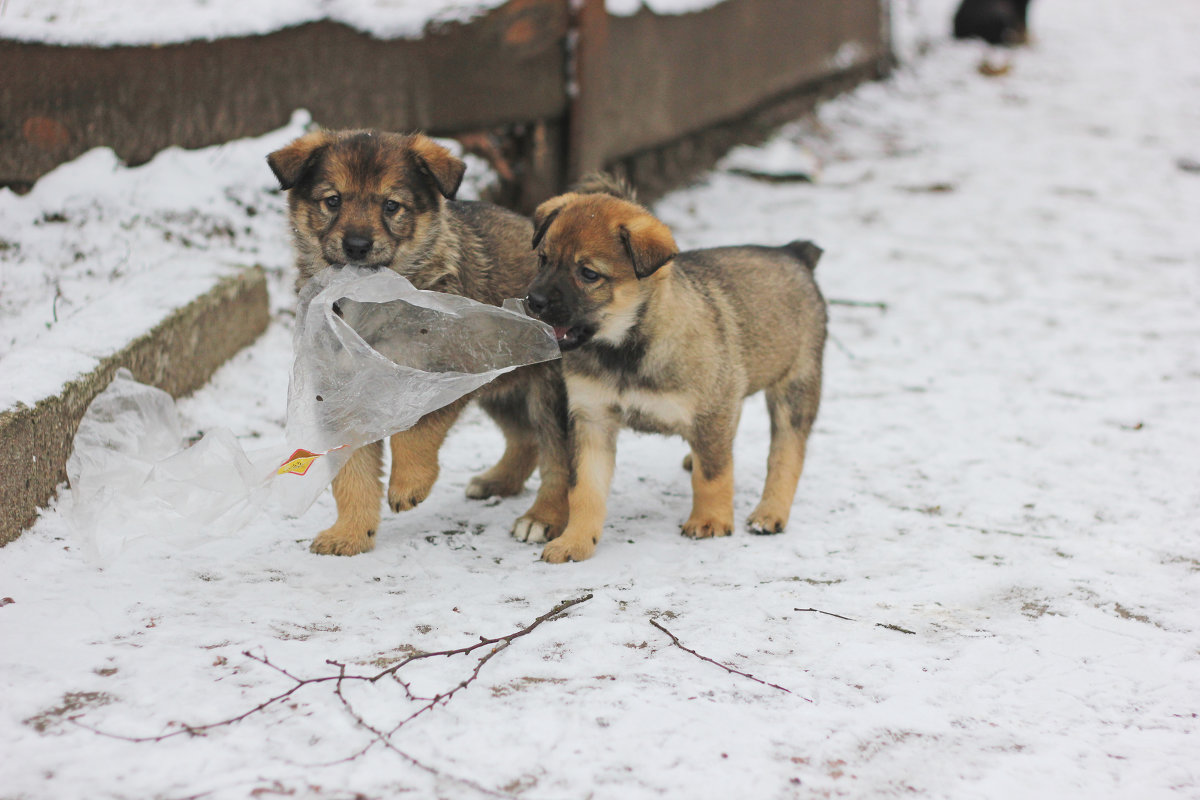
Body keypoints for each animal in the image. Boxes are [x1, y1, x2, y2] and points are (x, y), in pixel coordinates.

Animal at [270, 131, 568, 556]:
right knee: (525, 438)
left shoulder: (445, 372)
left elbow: (417, 433)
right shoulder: (342, 396)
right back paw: (498, 482)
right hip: (505, 384)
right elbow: (352, 477)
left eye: (391, 205)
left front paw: (409, 485)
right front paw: (351, 533)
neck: (370, 299)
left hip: (551, 392)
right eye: (333, 201)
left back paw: (542, 517)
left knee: (558, 457)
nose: (357, 245)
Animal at [525, 184, 825, 563]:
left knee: (787, 452)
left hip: (795, 387)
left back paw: (770, 512)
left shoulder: (711, 410)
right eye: (543, 259)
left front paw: (710, 520)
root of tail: (793, 253)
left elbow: (712, 474)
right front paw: (575, 540)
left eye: (589, 274)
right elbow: (585, 490)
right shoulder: (592, 419)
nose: (532, 300)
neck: (625, 351)